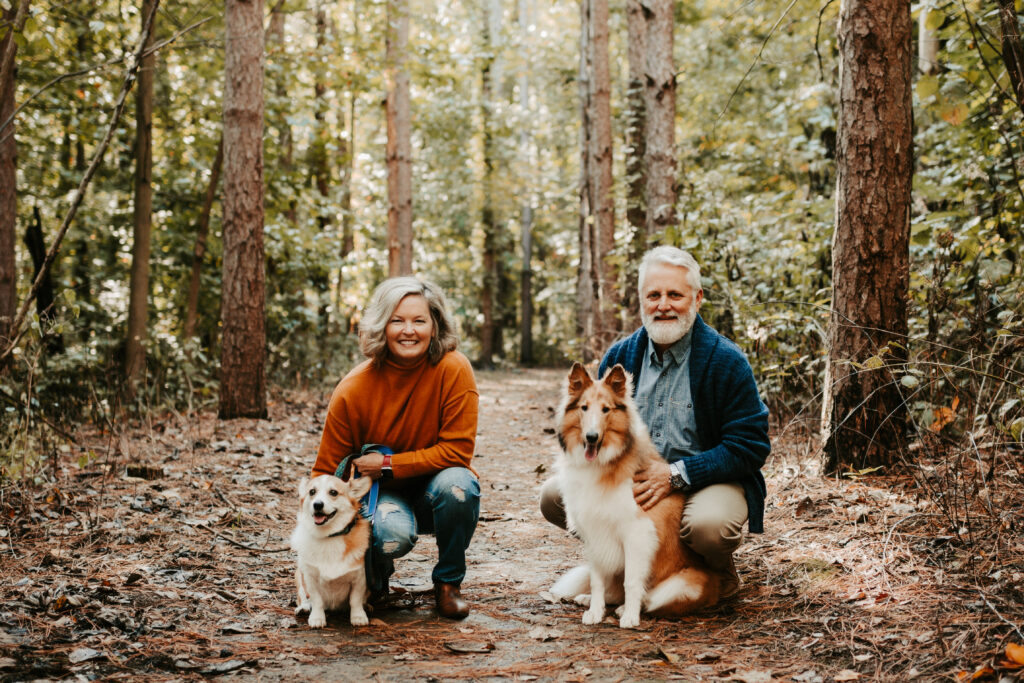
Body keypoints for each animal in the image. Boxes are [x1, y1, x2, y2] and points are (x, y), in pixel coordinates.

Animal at [290, 473, 374, 626]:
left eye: (333, 492)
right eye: (312, 492)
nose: (317, 504)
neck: (329, 536)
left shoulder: (360, 578)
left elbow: (355, 600)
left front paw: (358, 616)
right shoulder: (310, 577)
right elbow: (316, 600)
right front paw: (317, 618)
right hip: (298, 575)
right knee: (303, 596)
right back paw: (304, 608)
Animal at [552, 362, 720, 630]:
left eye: (606, 409)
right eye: (584, 408)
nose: (591, 437)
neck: (602, 463)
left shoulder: (637, 533)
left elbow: (631, 582)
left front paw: (630, 616)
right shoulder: (593, 531)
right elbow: (597, 580)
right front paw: (595, 611)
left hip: (684, 583)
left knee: (650, 598)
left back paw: (625, 609)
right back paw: (588, 599)